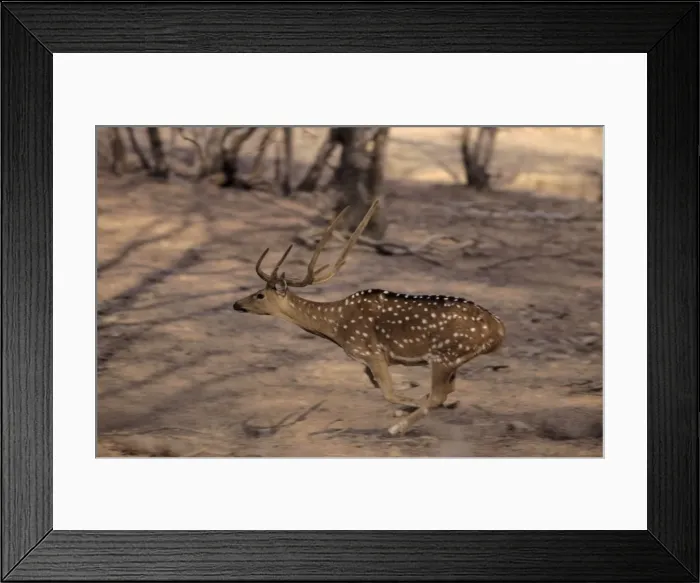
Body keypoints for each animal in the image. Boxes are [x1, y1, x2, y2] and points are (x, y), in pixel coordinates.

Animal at [233, 200, 506, 436]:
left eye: (259, 295)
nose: (236, 304)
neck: (335, 326)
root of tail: (499, 330)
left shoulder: (371, 352)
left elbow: (388, 392)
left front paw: (401, 413)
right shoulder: (371, 359)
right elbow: (377, 385)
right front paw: (410, 405)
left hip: (444, 356)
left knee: (439, 394)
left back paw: (398, 427)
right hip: (452, 360)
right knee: (447, 390)